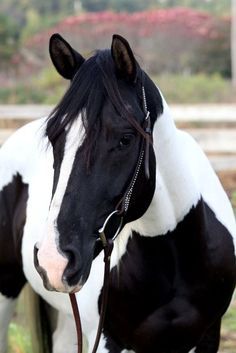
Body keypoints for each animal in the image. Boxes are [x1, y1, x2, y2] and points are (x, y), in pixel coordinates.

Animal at [0, 33, 236, 352]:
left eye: (125, 139)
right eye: (54, 136)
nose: (54, 259)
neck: (174, 254)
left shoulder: (208, 335)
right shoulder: (107, 339)